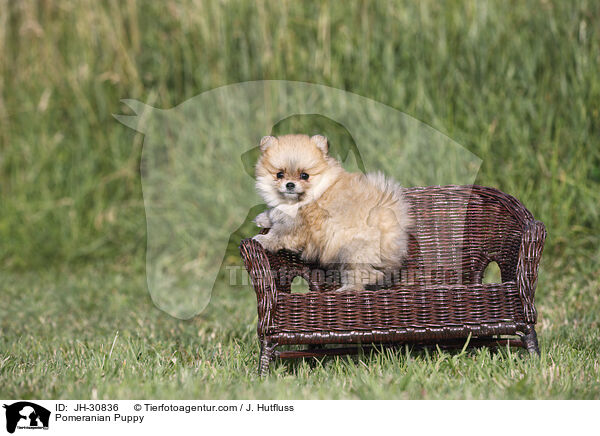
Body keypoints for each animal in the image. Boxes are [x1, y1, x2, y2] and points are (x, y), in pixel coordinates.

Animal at [251, 133, 410, 290]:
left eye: (304, 175)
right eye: (279, 175)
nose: (290, 185)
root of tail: (393, 232)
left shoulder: (297, 227)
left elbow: (278, 235)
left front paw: (262, 239)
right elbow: (274, 215)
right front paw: (263, 218)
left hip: (352, 251)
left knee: (364, 275)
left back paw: (347, 289)